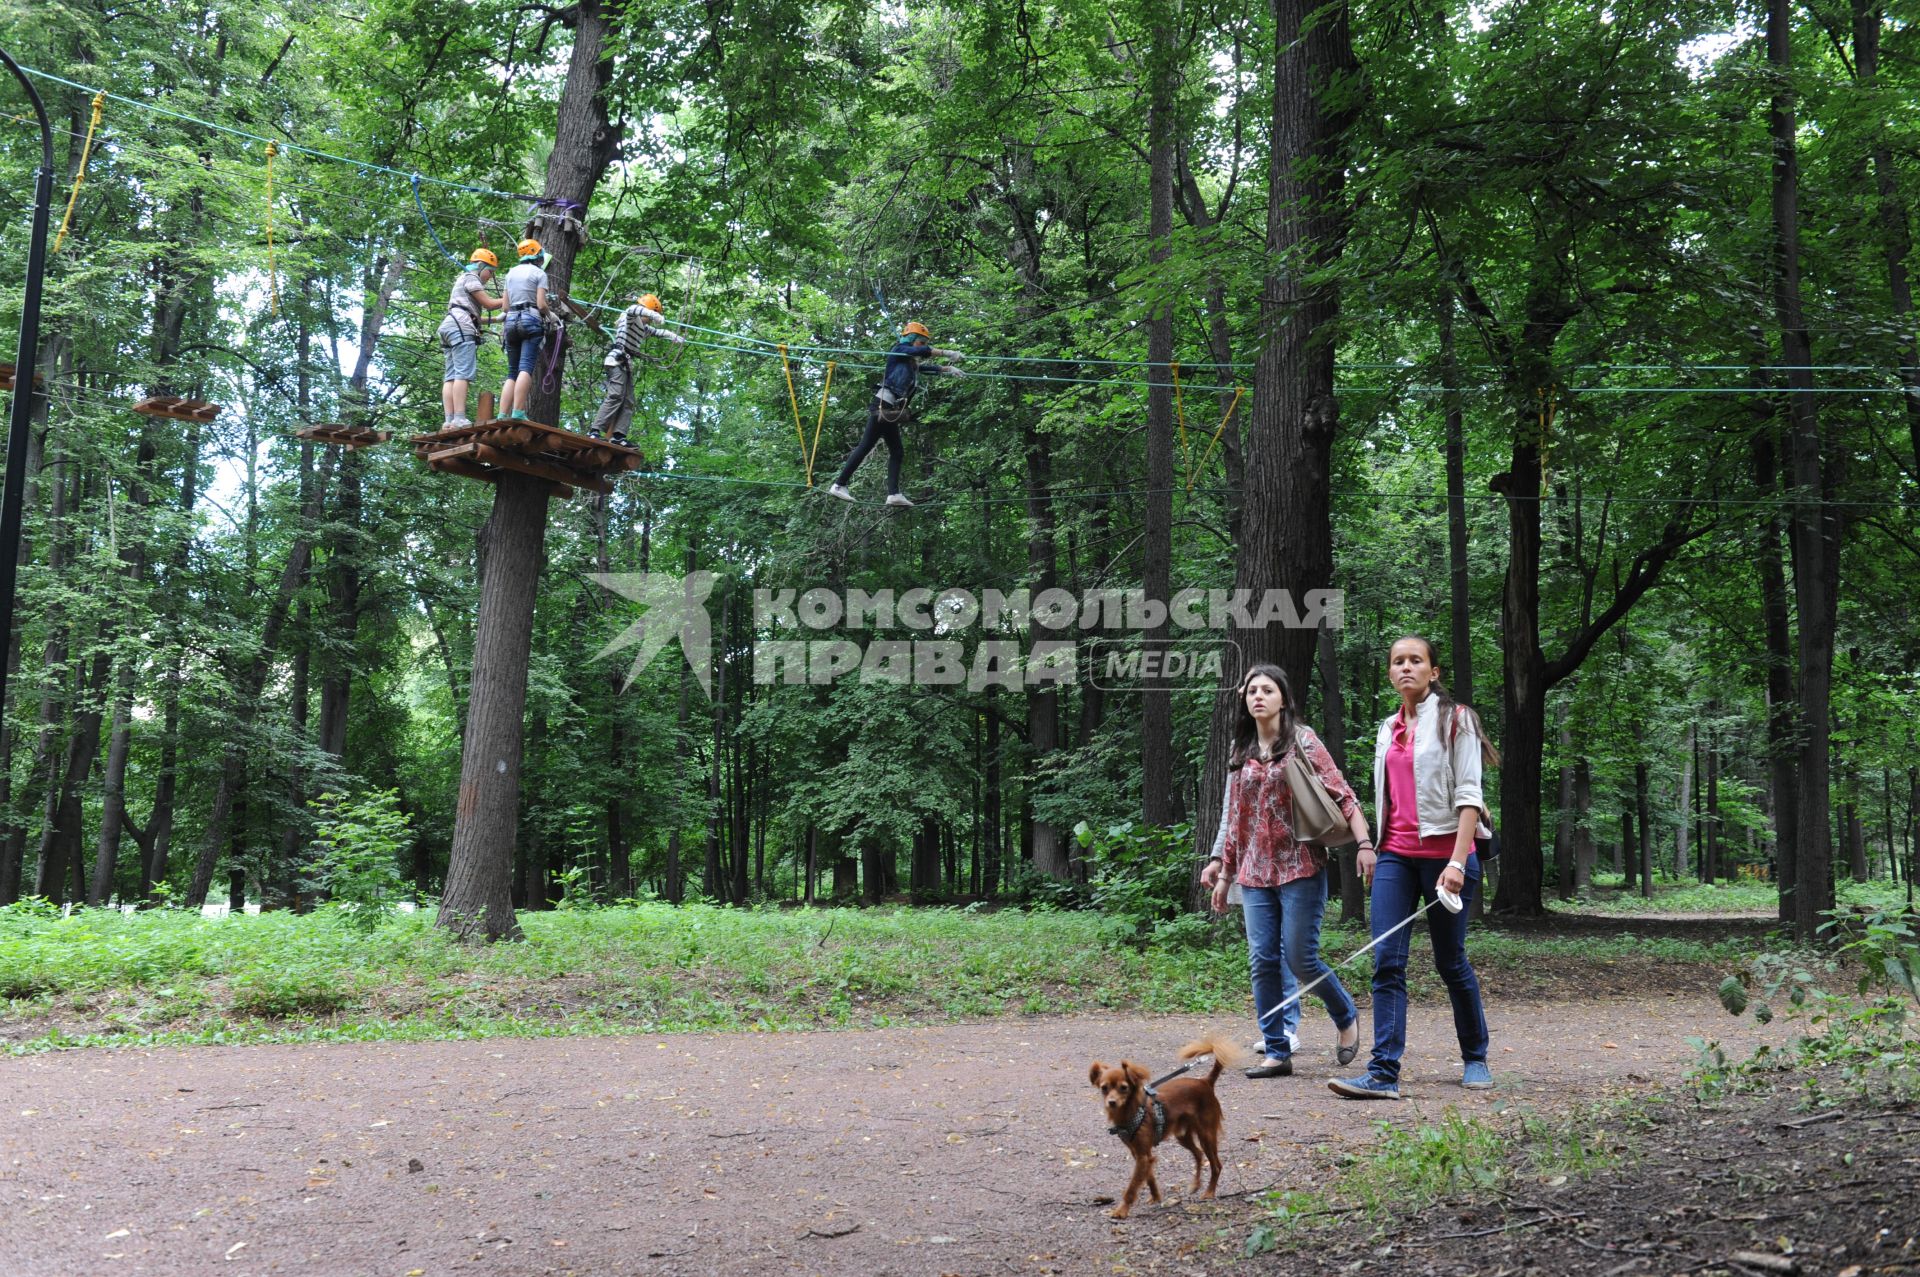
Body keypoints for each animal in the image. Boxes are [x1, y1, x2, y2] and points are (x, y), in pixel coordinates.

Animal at [1090, 1029, 1251, 1221]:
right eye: (1104, 1088)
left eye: (1124, 1087)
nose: (1111, 1102)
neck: (1131, 1111)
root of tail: (1205, 1081)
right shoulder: (1140, 1154)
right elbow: (1149, 1177)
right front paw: (1156, 1197)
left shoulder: (1143, 1155)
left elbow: (1132, 1186)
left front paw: (1121, 1211)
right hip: (1183, 1136)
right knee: (1198, 1154)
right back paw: (1195, 1185)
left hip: (1206, 1135)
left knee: (1216, 1165)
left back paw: (1209, 1192)